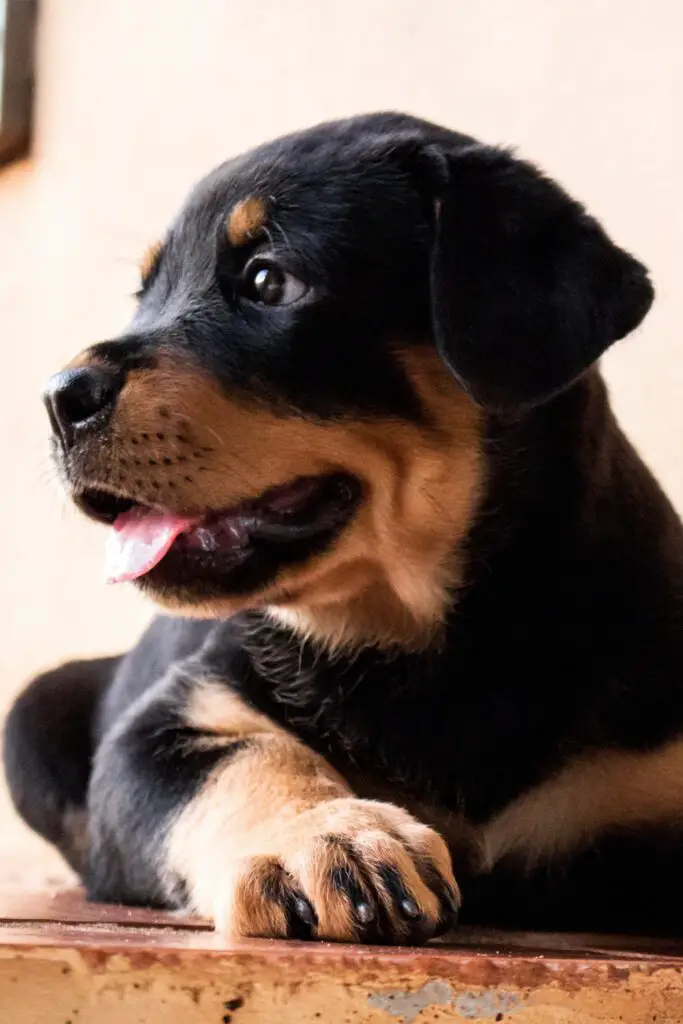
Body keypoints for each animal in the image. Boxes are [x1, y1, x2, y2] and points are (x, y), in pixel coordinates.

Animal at [6, 114, 683, 942]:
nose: (56, 397)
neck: (435, 642)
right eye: (144, 294)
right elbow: (245, 761)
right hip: (36, 708)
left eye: (268, 281)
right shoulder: (168, 720)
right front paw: (329, 840)